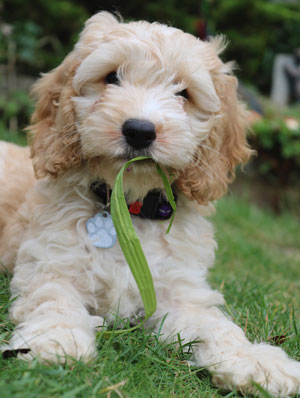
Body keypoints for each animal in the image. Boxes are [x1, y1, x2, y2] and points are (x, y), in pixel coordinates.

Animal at [0, 10, 300, 396]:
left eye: (184, 93)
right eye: (111, 77)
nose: (139, 131)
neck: (129, 209)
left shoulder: (181, 293)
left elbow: (218, 327)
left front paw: (259, 363)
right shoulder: (51, 265)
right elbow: (55, 302)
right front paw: (55, 342)